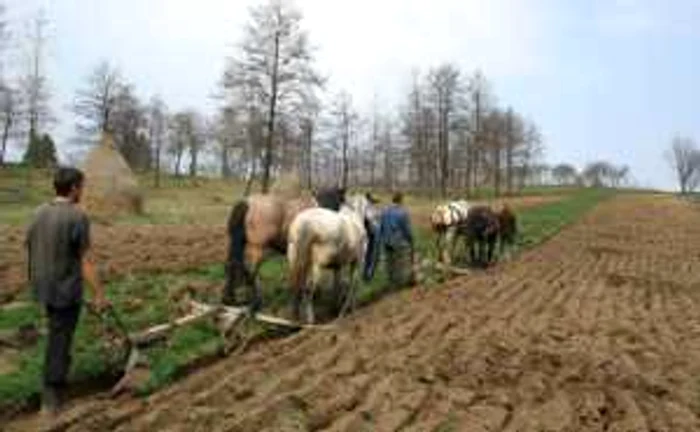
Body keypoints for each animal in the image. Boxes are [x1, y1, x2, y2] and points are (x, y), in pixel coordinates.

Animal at [288, 193, 380, 324]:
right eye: (370, 205)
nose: (375, 224)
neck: (354, 218)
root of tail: (302, 224)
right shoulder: (357, 261)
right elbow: (353, 283)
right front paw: (352, 308)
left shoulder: (337, 265)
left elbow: (337, 285)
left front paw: (336, 309)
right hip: (317, 265)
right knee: (309, 288)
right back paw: (310, 320)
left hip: (296, 261)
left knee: (296, 287)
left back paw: (296, 318)